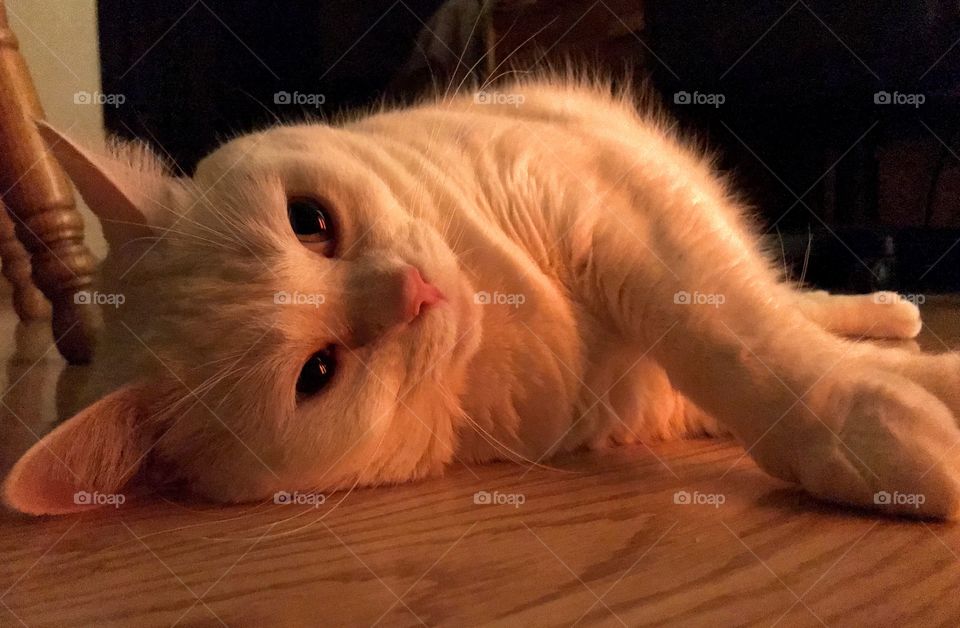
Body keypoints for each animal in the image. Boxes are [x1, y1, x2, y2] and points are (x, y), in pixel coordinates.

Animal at [3, 77, 956, 520]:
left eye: (311, 221)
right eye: (317, 373)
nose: (414, 291)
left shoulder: (619, 206)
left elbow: (742, 339)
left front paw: (876, 418)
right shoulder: (653, 397)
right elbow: (758, 356)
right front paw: (910, 406)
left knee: (788, 298)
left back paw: (893, 312)